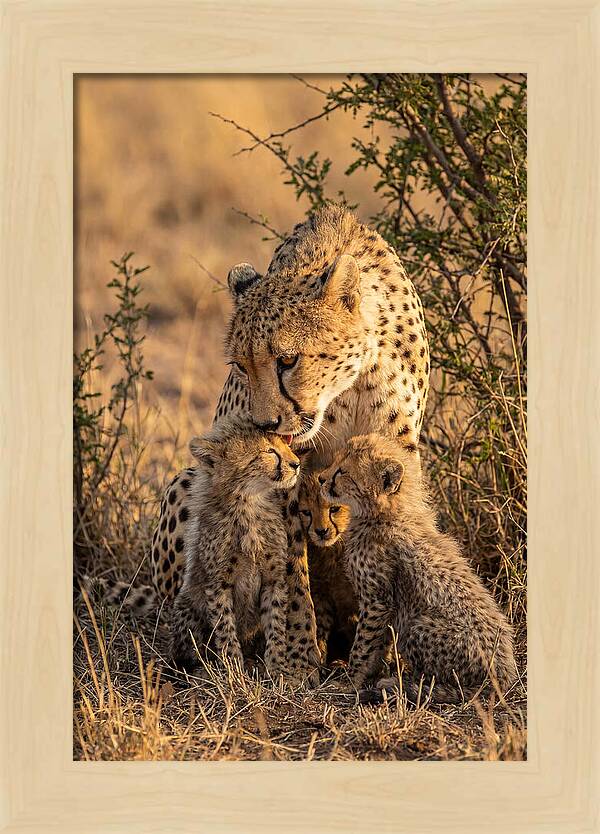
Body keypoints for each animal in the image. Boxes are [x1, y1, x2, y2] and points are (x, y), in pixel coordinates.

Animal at [170, 417, 300, 678]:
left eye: (285, 445)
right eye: (269, 452)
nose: (296, 464)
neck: (248, 504)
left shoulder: (274, 579)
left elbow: (276, 624)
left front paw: (277, 668)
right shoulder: (217, 583)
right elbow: (225, 627)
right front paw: (232, 670)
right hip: (187, 605)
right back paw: (202, 669)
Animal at [319, 434, 517, 704]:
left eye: (342, 472)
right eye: (335, 462)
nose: (321, 478)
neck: (386, 513)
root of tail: (505, 676)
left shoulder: (377, 601)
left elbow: (364, 644)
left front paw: (350, 680)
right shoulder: (385, 605)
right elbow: (378, 644)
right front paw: (370, 673)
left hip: (418, 625)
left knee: (445, 683)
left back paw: (402, 685)